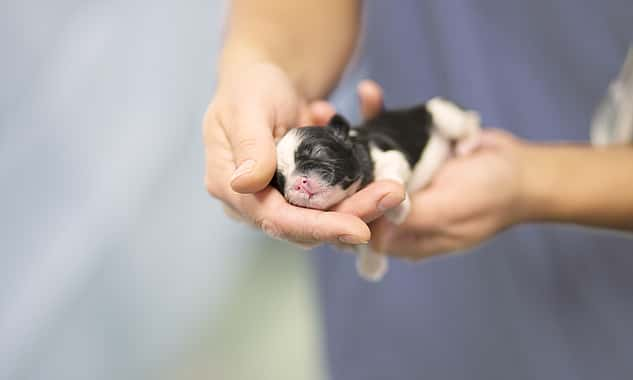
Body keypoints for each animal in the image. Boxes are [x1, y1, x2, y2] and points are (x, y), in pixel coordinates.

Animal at [270, 98, 478, 282]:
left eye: (317, 152)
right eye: (280, 180)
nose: (298, 183)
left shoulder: (392, 156)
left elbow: (389, 175)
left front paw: (397, 209)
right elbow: (364, 238)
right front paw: (371, 265)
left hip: (444, 115)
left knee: (469, 119)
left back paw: (468, 144)